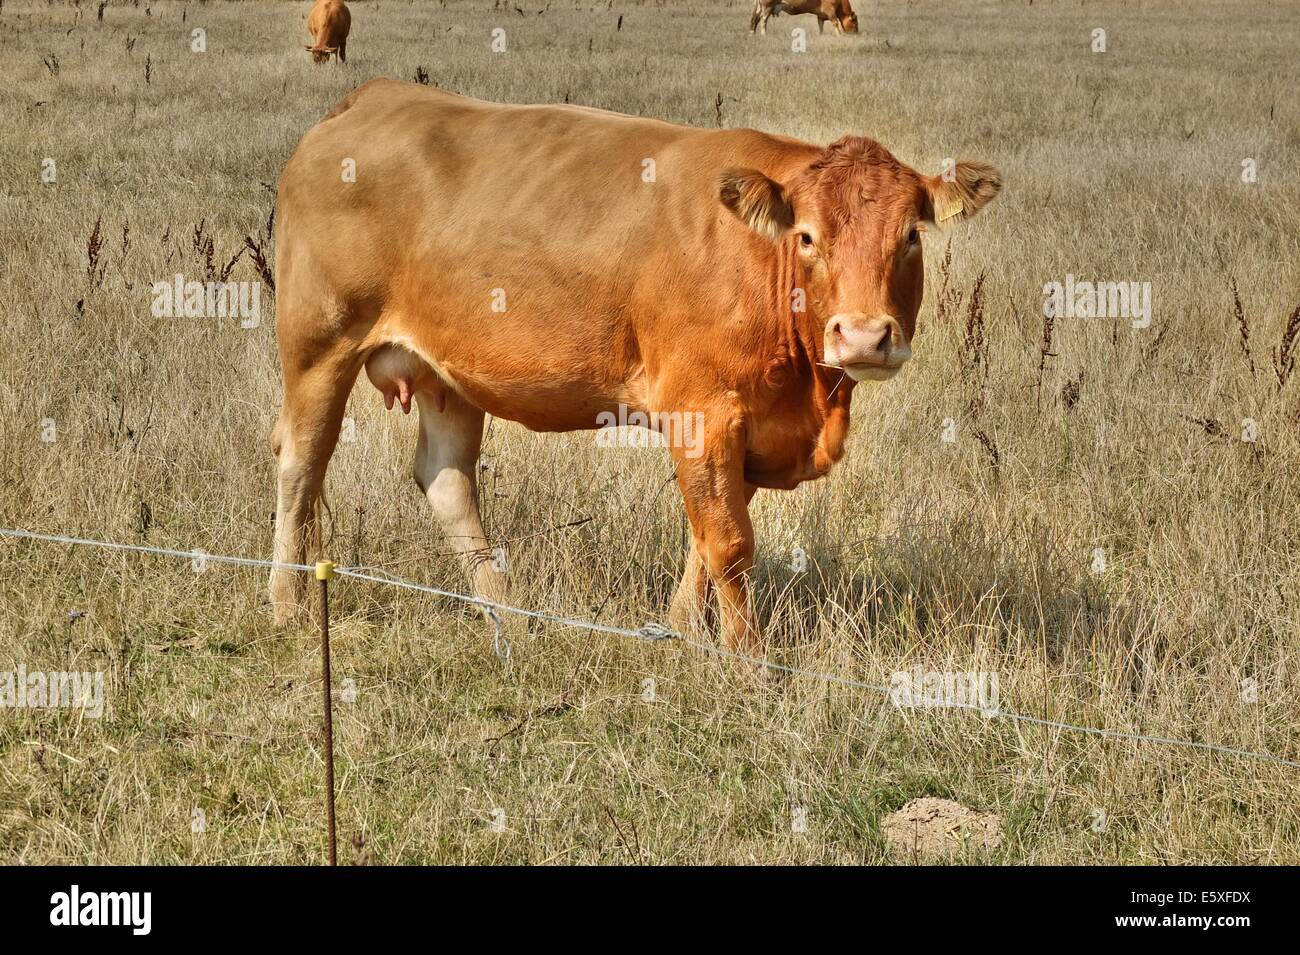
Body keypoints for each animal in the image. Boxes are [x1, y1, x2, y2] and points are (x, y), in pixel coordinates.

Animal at [266, 80, 1003, 657]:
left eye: (910, 237)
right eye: (808, 237)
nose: (865, 335)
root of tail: (374, 97)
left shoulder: (744, 426)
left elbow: (707, 536)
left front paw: (679, 633)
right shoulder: (705, 410)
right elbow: (729, 542)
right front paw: (749, 664)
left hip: (447, 374)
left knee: (446, 480)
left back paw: (511, 618)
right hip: (318, 344)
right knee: (301, 461)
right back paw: (287, 602)